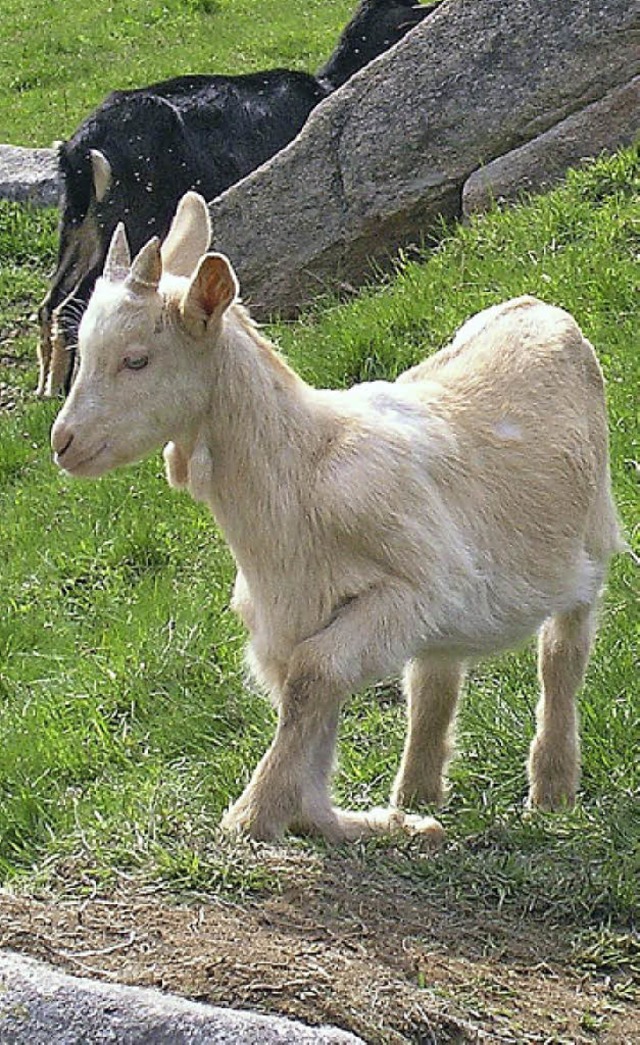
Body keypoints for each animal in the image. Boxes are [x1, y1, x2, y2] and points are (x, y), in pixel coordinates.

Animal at [49, 192, 619, 844]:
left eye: (137, 360)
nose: (63, 442)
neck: (303, 470)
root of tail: (542, 308)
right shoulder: (291, 620)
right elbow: (306, 701)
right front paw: (336, 818)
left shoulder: (412, 586)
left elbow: (315, 677)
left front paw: (253, 815)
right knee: (435, 674)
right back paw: (416, 796)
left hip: (589, 534)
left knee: (562, 652)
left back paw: (550, 791)